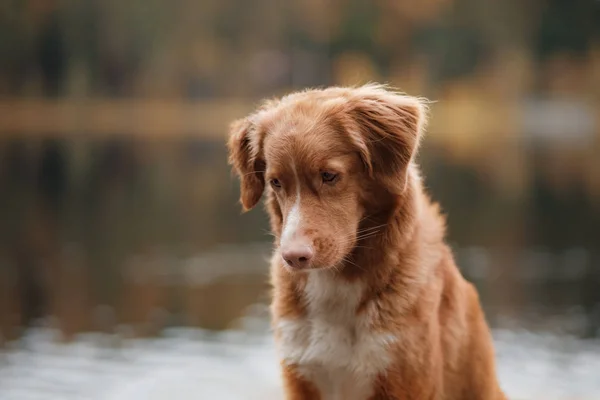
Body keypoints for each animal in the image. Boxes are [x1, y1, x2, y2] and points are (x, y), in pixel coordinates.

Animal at [227, 84, 504, 400]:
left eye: (329, 175)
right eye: (275, 182)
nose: (293, 257)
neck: (338, 283)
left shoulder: (402, 380)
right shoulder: (302, 377)